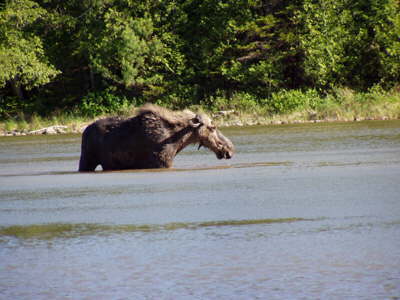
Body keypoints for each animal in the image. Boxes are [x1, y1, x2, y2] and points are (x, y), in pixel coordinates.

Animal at [78, 103, 234, 171]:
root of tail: (84, 132)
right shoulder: (161, 163)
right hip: (87, 159)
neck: (177, 141)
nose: (230, 149)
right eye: (212, 127)